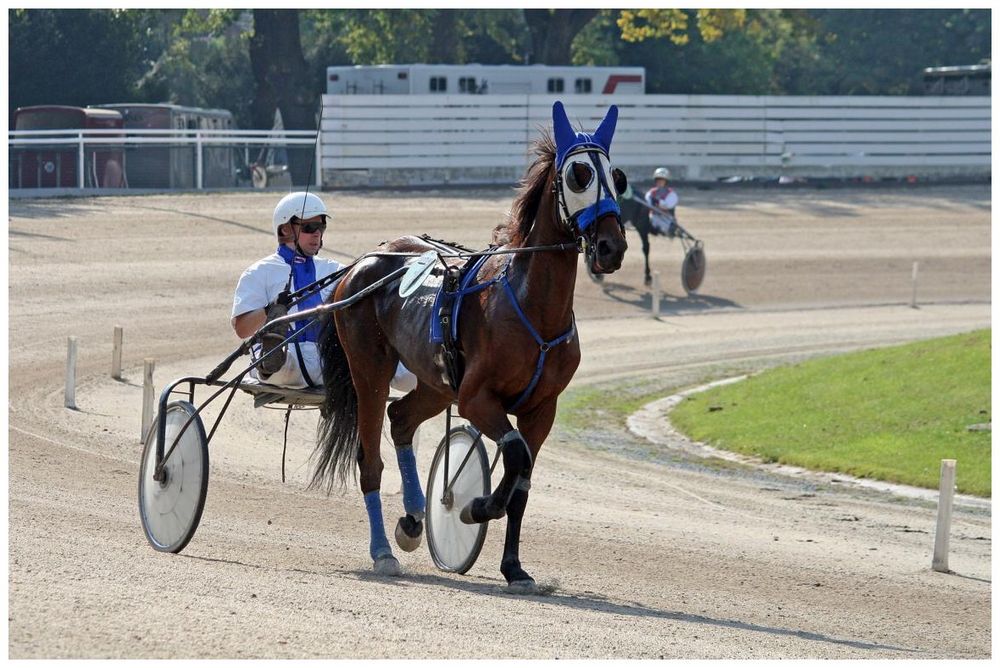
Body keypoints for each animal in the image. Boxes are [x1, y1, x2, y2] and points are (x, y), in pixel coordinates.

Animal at [308, 100, 628, 588]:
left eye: (618, 175)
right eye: (578, 175)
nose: (612, 246)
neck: (530, 305)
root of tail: (363, 261)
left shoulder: (542, 410)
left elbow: (522, 481)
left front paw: (514, 567)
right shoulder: (478, 398)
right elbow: (514, 456)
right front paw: (474, 506)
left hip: (436, 384)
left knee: (401, 419)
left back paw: (412, 520)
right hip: (370, 371)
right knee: (370, 459)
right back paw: (383, 551)